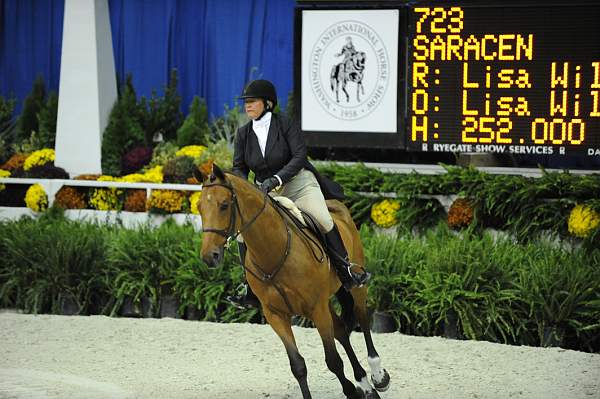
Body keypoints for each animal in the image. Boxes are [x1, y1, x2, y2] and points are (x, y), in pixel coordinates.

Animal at [195, 163, 392, 399]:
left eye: (224, 205)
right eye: (199, 207)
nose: (209, 256)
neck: (274, 251)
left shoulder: (316, 309)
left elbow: (333, 361)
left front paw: (358, 386)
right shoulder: (276, 315)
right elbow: (298, 365)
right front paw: (351, 389)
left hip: (355, 287)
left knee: (362, 319)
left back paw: (378, 378)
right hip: (326, 302)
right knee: (341, 332)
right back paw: (363, 383)